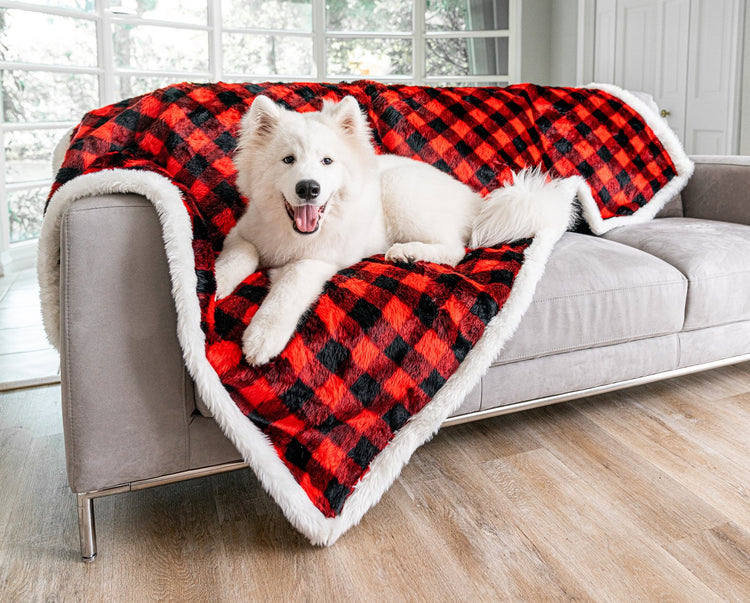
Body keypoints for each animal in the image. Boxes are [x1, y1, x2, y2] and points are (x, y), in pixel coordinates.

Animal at [214, 96, 580, 366]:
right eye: (288, 160)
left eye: (327, 161)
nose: (308, 188)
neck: (292, 233)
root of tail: (475, 200)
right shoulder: (241, 235)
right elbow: (237, 258)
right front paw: (214, 284)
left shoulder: (317, 261)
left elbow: (287, 290)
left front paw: (262, 337)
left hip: (400, 188)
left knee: (456, 249)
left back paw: (408, 252)